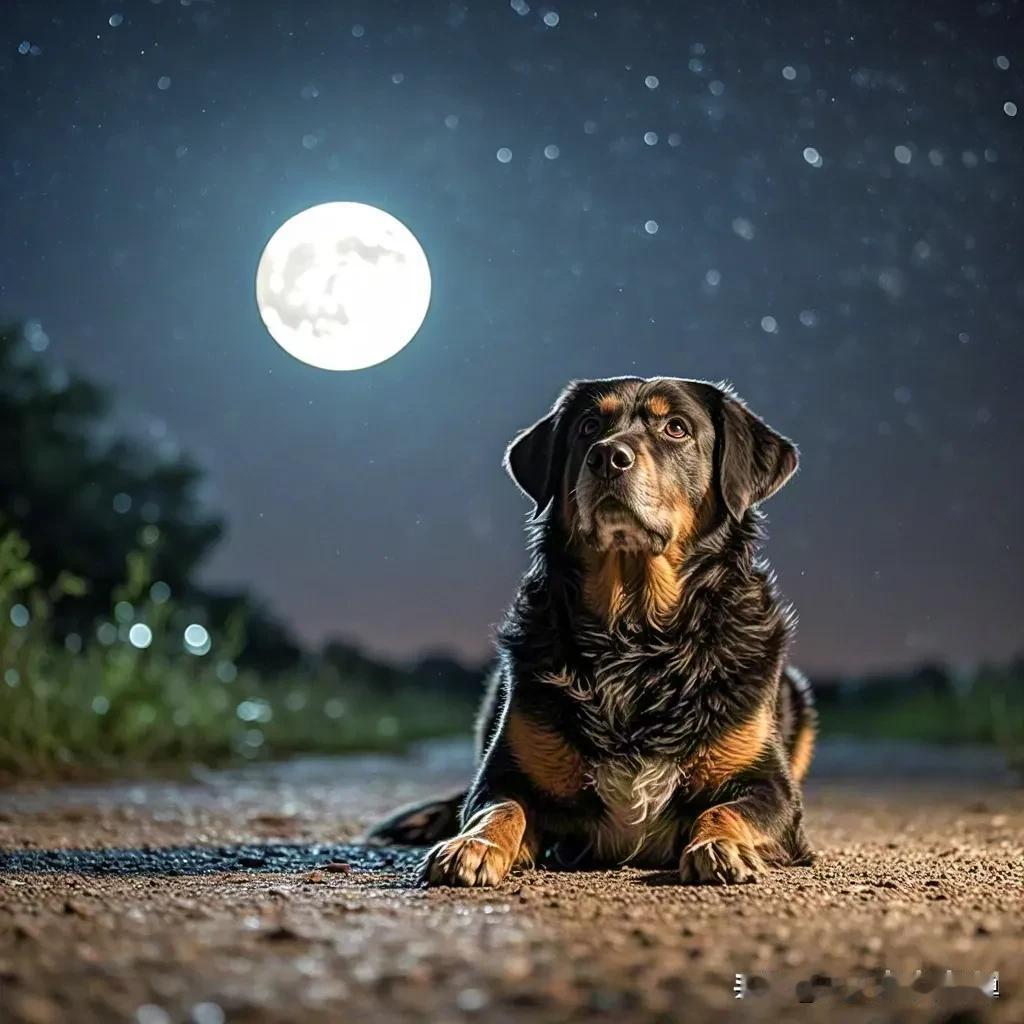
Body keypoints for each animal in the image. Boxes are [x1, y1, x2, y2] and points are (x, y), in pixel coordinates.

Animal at [368, 380, 815, 884]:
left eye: (676, 428)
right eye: (588, 426)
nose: (607, 456)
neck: (636, 635)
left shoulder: (773, 790)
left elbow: (724, 810)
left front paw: (720, 845)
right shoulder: (504, 775)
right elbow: (498, 808)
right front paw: (474, 844)